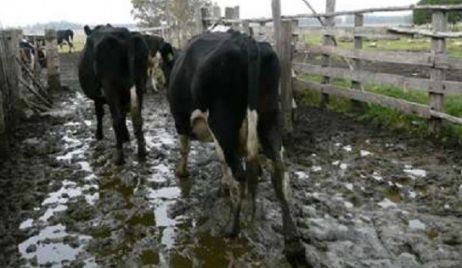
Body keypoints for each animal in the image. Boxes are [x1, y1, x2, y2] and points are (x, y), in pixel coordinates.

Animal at [78, 24, 149, 164]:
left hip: (110, 86)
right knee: (137, 117)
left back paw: (119, 157)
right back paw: (142, 151)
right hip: (140, 83)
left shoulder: (98, 96)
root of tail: (126, 34)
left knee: (116, 119)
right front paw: (126, 136)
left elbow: (99, 113)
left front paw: (99, 135)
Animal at [161, 29, 308, 266]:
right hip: (268, 119)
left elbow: (187, 149)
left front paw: (182, 172)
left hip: (222, 123)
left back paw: (232, 227)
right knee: (279, 171)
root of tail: (246, 41)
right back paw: (293, 243)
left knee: (239, 174)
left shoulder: (181, 121)